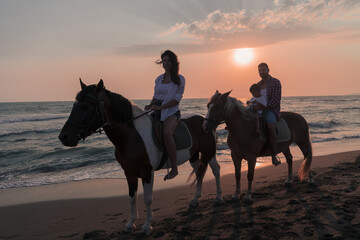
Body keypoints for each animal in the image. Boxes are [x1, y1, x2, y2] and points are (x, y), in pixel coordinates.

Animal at [58, 79, 222, 235]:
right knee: (199, 172)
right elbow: (132, 198)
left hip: (209, 153)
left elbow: (147, 198)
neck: (132, 137)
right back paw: (195, 200)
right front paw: (130, 224)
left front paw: (147, 225)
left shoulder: (147, 172)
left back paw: (218, 198)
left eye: (85, 107)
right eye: (74, 105)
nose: (63, 137)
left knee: (215, 170)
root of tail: (204, 121)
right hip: (193, 156)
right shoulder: (129, 173)